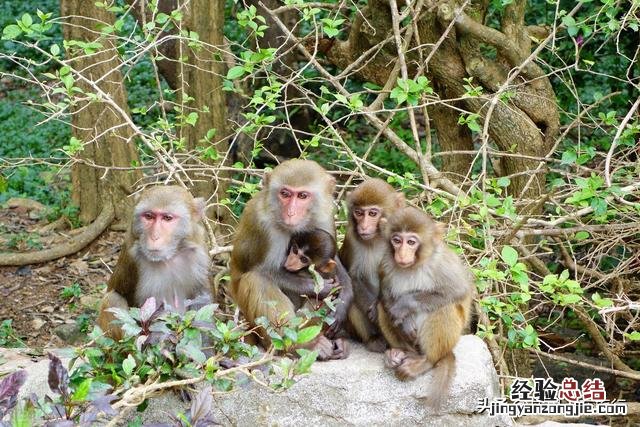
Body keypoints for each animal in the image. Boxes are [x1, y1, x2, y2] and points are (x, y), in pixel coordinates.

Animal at [96, 187, 210, 342]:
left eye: (167, 218)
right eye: (149, 216)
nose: (154, 236)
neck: (170, 256)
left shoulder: (200, 253)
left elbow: (202, 300)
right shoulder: (133, 255)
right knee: (113, 299)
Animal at [229, 160, 350, 362]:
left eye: (302, 196)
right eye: (285, 194)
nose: (291, 213)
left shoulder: (324, 216)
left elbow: (332, 262)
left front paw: (344, 301)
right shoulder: (264, 225)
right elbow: (262, 271)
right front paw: (319, 288)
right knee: (256, 280)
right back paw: (297, 346)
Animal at [340, 177, 404, 352]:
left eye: (373, 213)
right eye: (359, 213)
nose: (363, 226)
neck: (378, 238)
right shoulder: (352, 238)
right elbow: (355, 278)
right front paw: (374, 311)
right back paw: (373, 339)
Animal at [378, 209, 472, 410]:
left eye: (411, 242)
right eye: (396, 240)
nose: (401, 254)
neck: (415, 265)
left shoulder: (441, 263)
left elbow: (458, 290)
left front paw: (405, 304)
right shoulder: (385, 263)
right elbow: (386, 294)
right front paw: (405, 323)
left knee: (445, 308)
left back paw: (426, 361)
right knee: (381, 304)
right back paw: (400, 353)